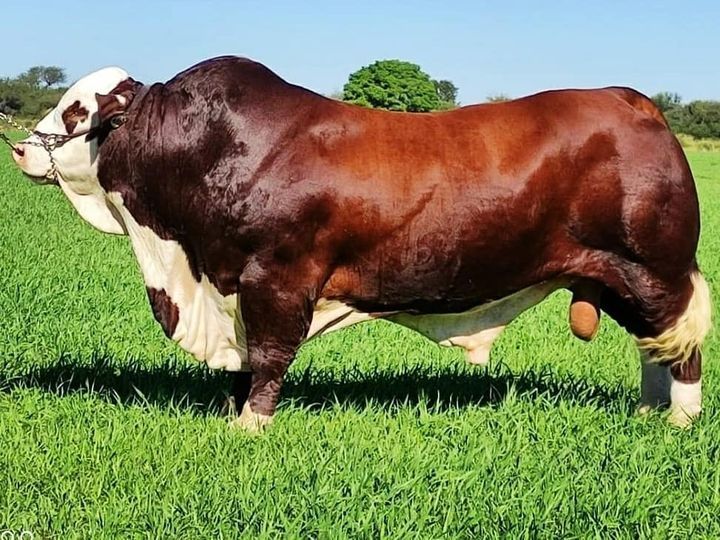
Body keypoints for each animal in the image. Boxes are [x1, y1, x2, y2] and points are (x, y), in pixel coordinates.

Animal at [9, 56, 708, 430]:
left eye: (76, 111)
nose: (18, 148)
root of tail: (633, 101)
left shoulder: (277, 278)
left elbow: (268, 360)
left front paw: (250, 429)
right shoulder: (235, 287)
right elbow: (246, 364)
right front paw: (233, 417)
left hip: (654, 270)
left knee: (682, 350)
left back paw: (678, 420)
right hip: (616, 278)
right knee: (655, 347)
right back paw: (648, 415)